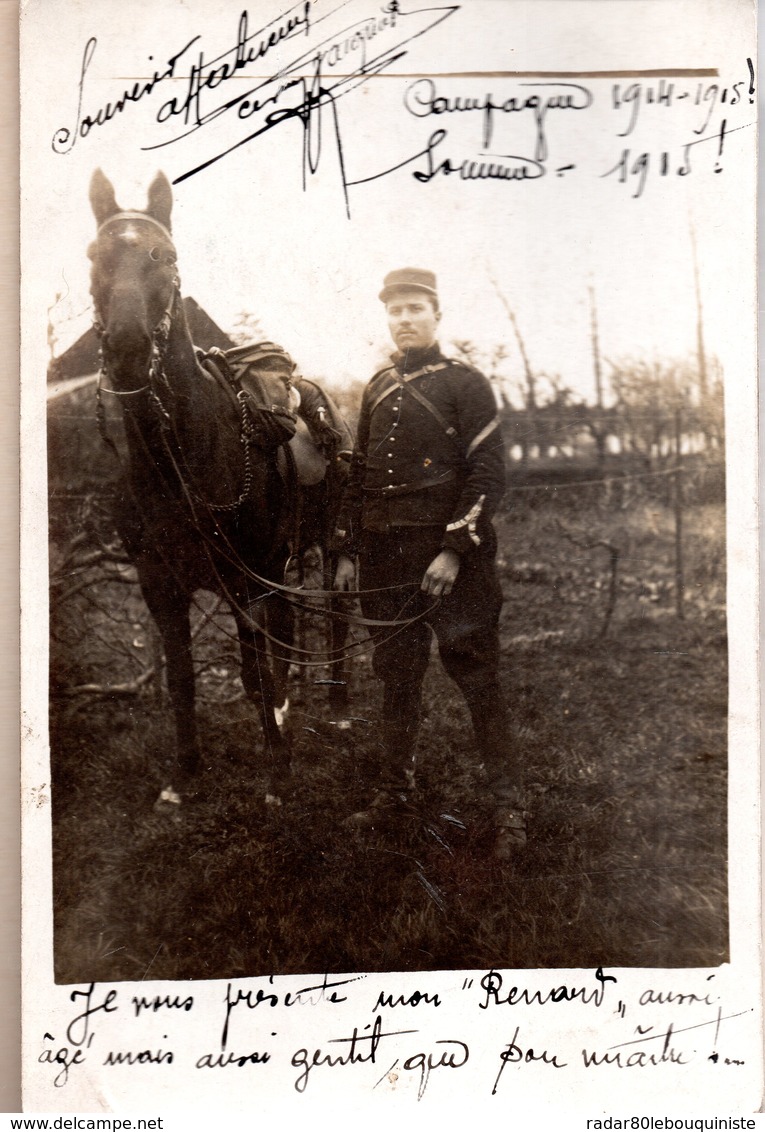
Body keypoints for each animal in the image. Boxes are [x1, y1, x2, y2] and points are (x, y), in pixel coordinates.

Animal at [88, 169, 296, 805]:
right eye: (94, 255)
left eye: (168, 257)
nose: (128, 349)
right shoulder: (160, 585)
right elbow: (181, 675)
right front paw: (184, 775)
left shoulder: (247, 578)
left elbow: (255, 668)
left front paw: (277, 771)